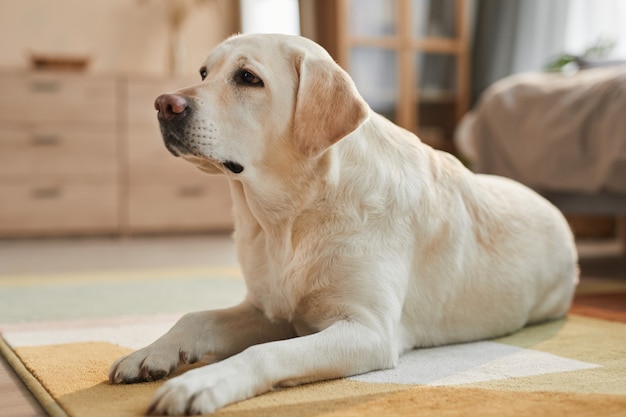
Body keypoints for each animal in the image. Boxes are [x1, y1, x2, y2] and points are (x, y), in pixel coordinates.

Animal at [109, 34, 576, 414]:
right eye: (204, 73)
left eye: (247, 78)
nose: (163, 104)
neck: (288, 219)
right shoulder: (270, 308)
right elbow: (195, 317)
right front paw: (151, 352)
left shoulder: (368, 330)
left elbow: (265, 352)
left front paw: (202, 382)